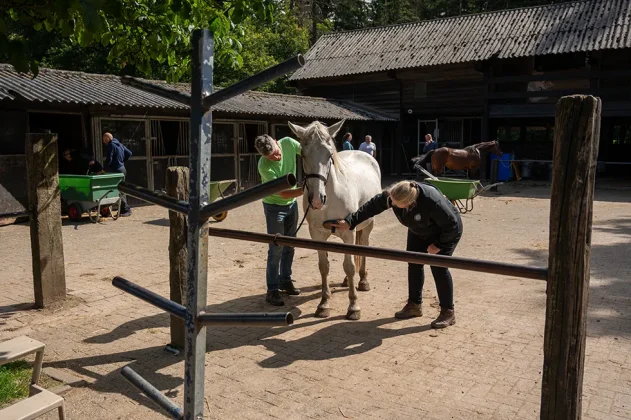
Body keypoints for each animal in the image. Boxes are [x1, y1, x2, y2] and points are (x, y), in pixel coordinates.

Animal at [288, 120, 382, 320]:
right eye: (303, 154)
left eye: (329, 154)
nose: (317, 200)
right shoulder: (316, 235)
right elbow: (324, 266)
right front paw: (324, 304)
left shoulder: (348, 233)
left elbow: (349, 266)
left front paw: (353, 307)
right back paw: (348, 281)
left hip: (368, 225)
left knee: (363, 248)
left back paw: (363, 281)